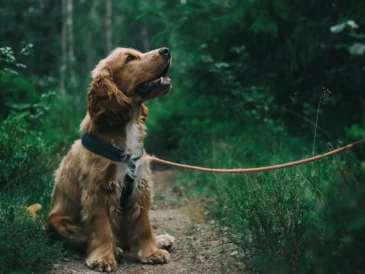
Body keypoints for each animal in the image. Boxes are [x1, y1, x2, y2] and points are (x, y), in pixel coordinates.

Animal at [48, 47, 175, 272]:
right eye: (130, 58)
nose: (166, 50)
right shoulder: (98, 191)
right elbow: (102, 229)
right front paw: (103, 258)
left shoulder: (140, 186)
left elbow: (144, 225)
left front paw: (152, 252)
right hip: (59, 222)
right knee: (84, 238)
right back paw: (115, 249)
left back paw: (161, 240)